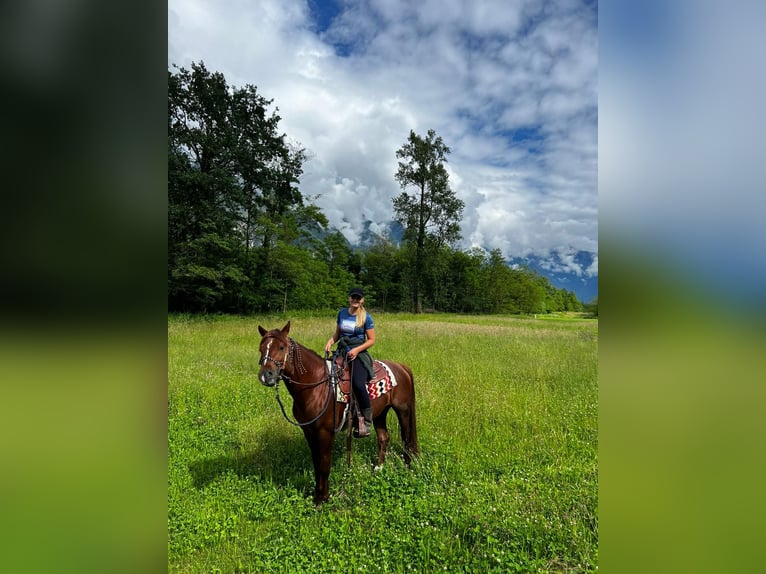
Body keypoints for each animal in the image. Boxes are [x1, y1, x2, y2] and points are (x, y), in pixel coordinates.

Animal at [256, 322, 420, 506]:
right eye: (261, 348)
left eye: (281, 347)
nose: (266, 376)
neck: (316, 386)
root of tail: (401, 367)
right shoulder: (309, 431)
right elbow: (316, 463)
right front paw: (316, 495)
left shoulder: (325, 432)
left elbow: (324, 464)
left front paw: (323, 499)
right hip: (380, 413)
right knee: (384, 438)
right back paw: (378, 468)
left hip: (403, 410)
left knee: (406, 438)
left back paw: (407, 467)